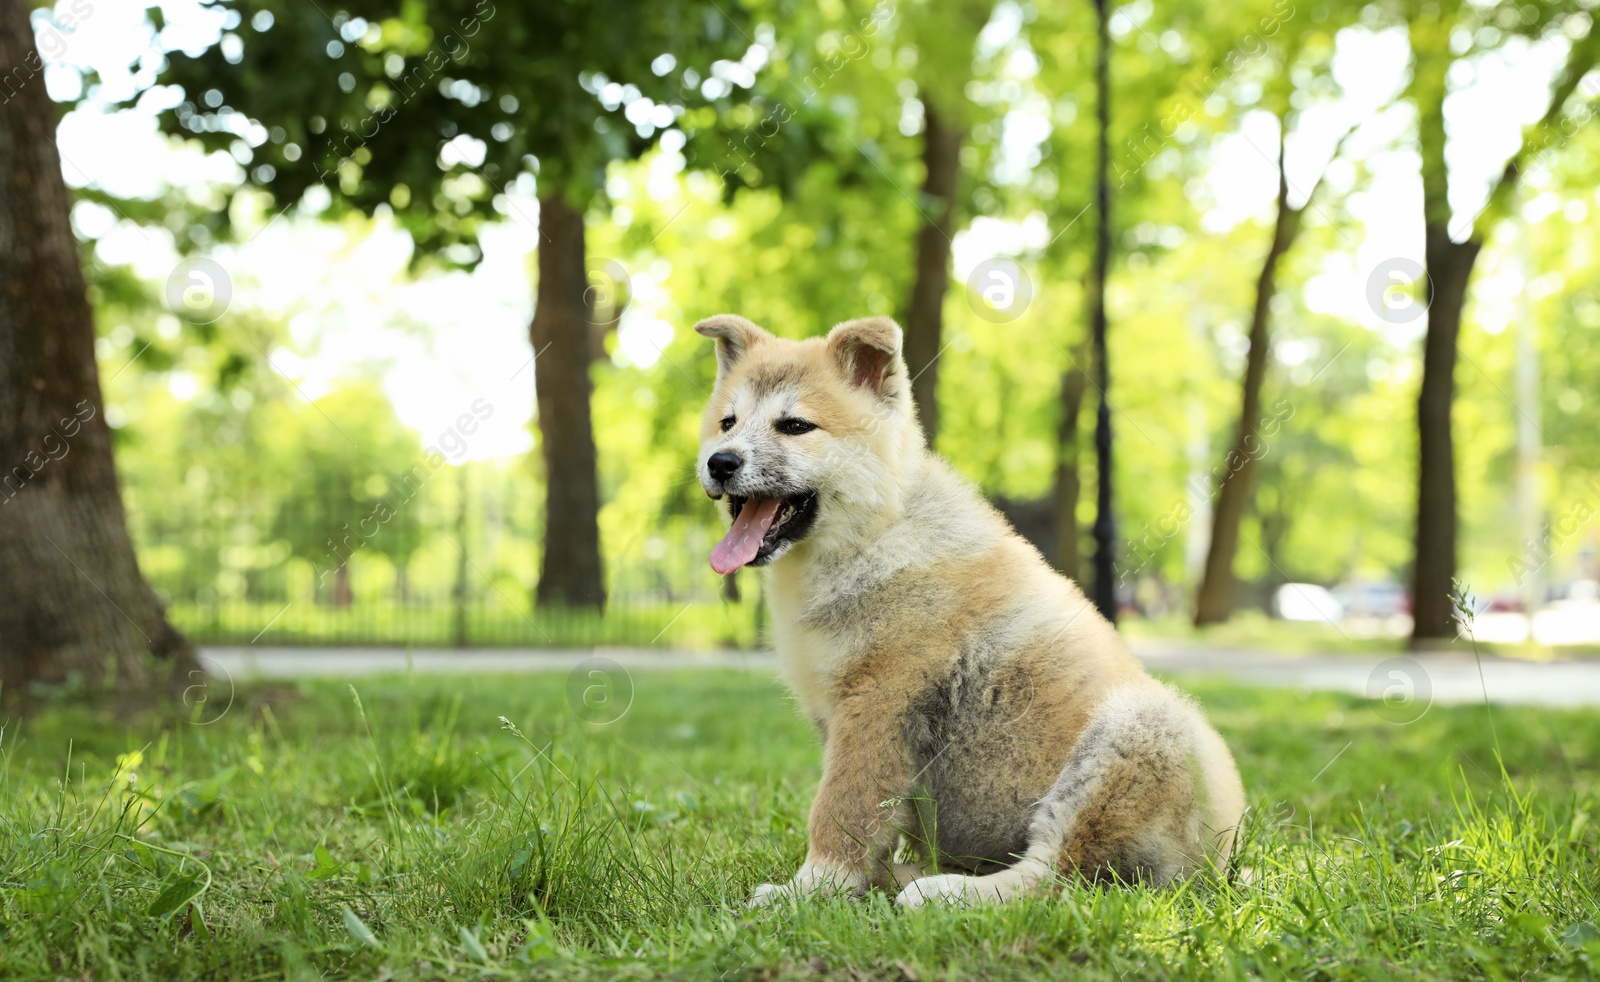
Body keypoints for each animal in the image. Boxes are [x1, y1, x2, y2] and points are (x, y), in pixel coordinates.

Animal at [697, 313, 1248, 908]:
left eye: (795, 426)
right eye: (727, 422)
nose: (720, 462)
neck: (873, 534)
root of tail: (1220, 862)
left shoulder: (876, 705)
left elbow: (841, 809)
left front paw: (813, 887)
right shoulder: (848, 721)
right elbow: (877, 822)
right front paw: (854, 882)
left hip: (1137, 732)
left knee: (1057, 876)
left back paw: (946, 892)